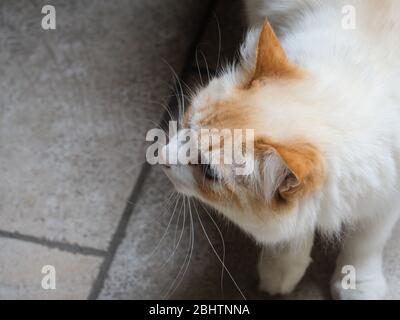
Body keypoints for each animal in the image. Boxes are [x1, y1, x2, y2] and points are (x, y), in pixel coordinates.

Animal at [159, 0, 400, 300]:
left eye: (208, 171)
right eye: (188, 123)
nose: (160, 157)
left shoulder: (388, 193)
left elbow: (367, 240)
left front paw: (357, 283)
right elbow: (293, 234)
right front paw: (282, 268)